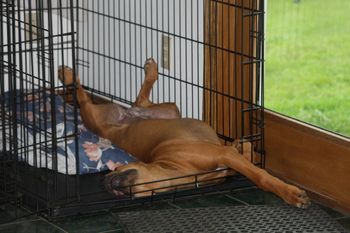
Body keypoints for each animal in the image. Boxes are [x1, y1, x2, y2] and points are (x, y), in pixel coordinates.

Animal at [58, 59, 312, 208]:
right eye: (122, 194)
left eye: (116, 169)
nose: (106, 182)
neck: (175, 168)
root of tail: (128, 114)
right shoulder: (227, 158)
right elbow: (250, 163)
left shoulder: (226, 157)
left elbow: (257, 171)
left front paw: (290, 193)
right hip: (154, 111)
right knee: (131, 98)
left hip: (133, 113)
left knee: (87, 95)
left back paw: (68, 75)